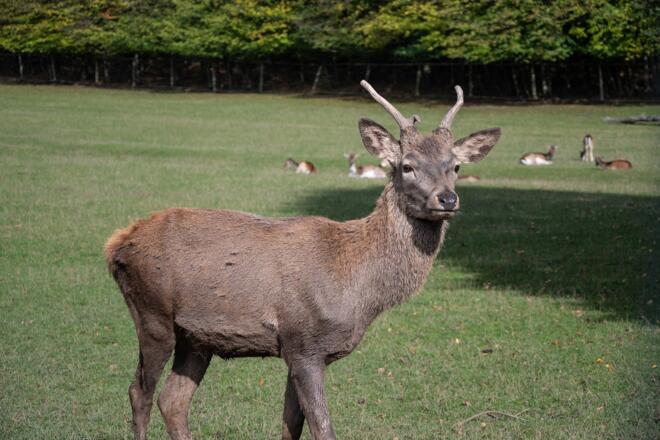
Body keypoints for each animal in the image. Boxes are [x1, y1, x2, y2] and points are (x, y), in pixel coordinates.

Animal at [104, 80, 501, 440]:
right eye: (407, 165)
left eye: (455, 166)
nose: (447, 199)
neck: (359, 290)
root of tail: (116, 244)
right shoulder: (303, 341)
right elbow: (323, 428)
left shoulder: (300, 351)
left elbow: (290, 426)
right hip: (152, 312)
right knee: (140, 392)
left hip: (196, 338)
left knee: (173, 400)